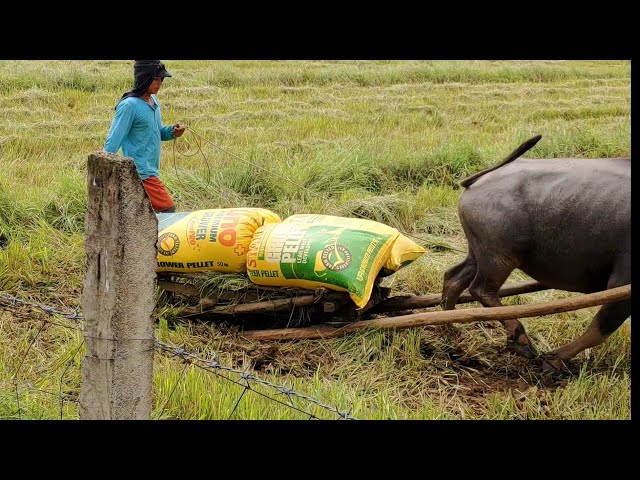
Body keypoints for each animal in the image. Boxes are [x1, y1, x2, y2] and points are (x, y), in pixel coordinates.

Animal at [440, 133, 632, 374]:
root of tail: (480, 179)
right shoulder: (621, 285)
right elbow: (599, 330)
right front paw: (554, 360)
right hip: (499, 256)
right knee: (481, 290)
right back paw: (520, 338)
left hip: (478, 252)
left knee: (454, 279)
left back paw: (449, 328)